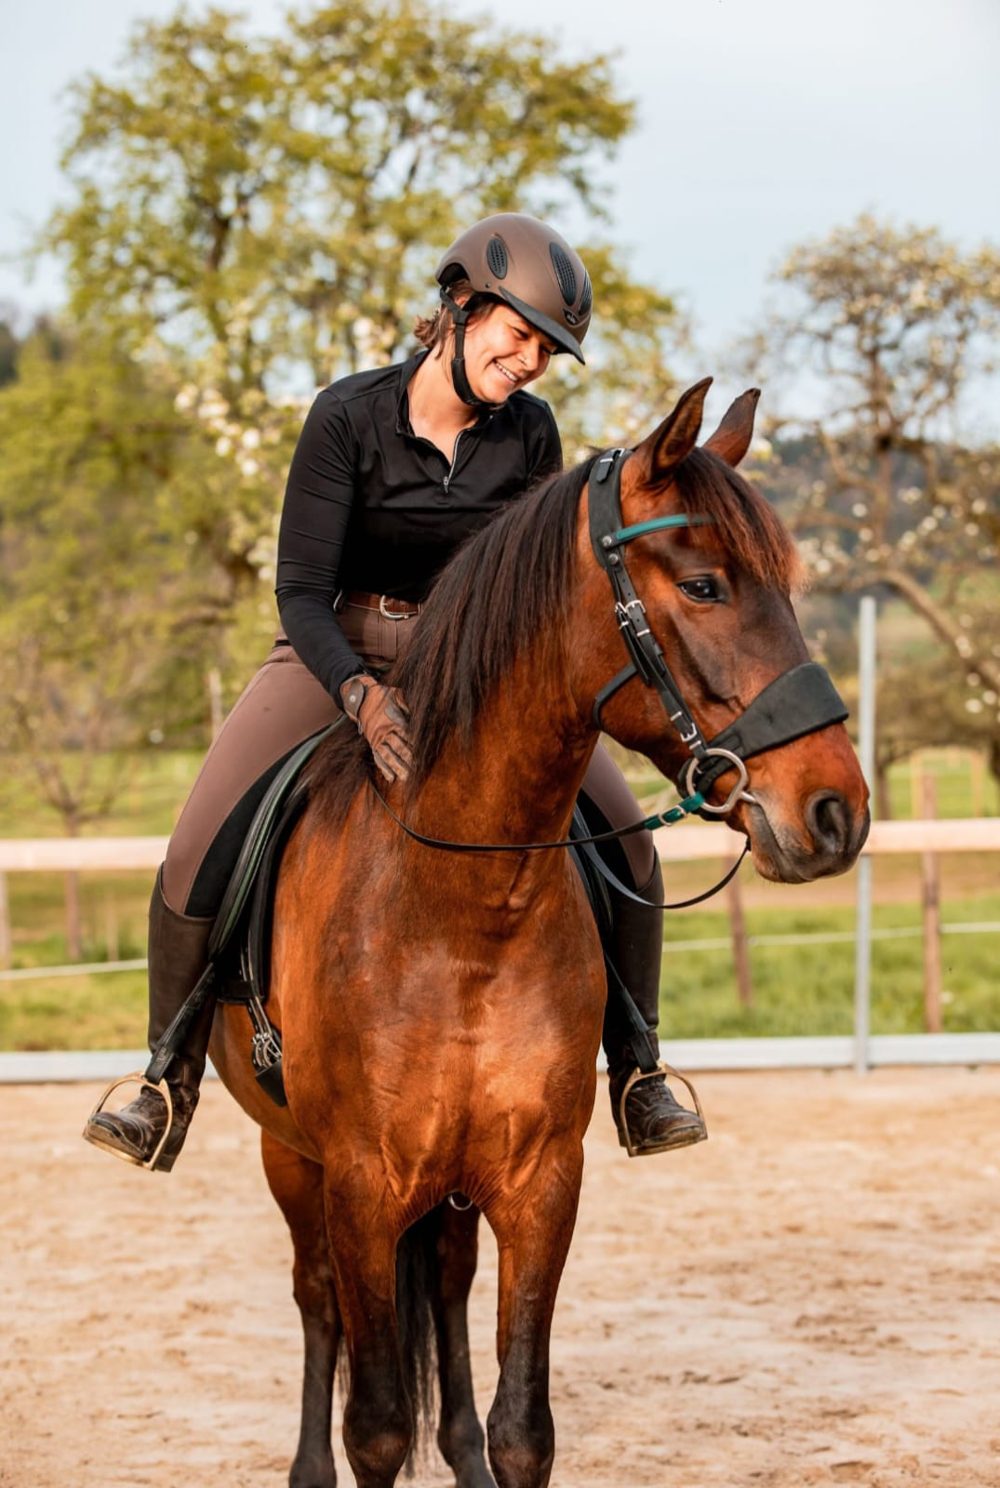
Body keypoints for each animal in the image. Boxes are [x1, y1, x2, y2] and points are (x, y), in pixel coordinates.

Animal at [207, 378, 870, 1488]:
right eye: (703, 584)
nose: (836, 812)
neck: (462, 910)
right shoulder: (359, 1183)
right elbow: (374, 1421)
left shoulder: (539, 1180)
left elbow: (525, 1426)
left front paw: (490, 1450)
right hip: (292, 1160)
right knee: (318, 1301)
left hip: (448, 1190)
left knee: (444, 1287)